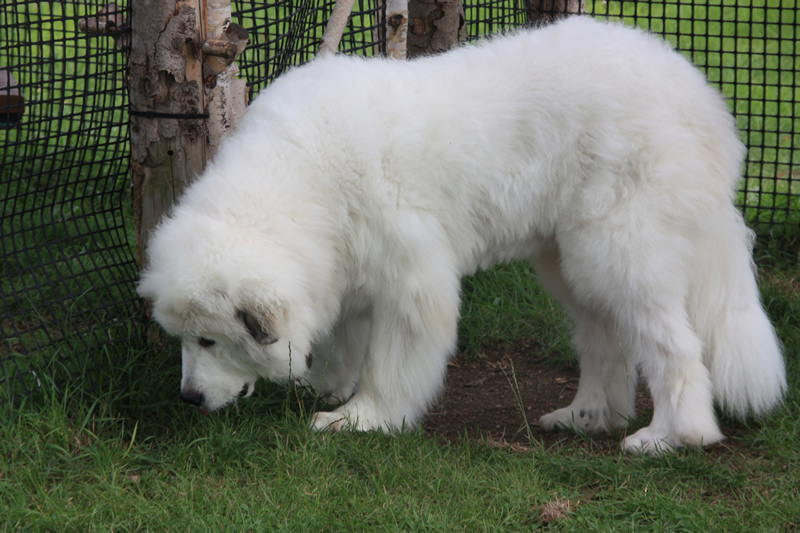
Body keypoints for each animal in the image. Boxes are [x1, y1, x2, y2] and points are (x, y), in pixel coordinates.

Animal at [136, 18, 780, 456]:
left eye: (211, 341)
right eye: (184, 340)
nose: (188, 399)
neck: (300, 178)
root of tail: (701, 98)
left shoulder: (411, 281)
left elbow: (390, 364)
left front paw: (362, 419)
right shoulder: (346, 266)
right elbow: (344, 339)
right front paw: (328, 389)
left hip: (618, 252)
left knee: (676, 348)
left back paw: (670, 437)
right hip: (571, 262)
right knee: (607, 343)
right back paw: (588, 416)